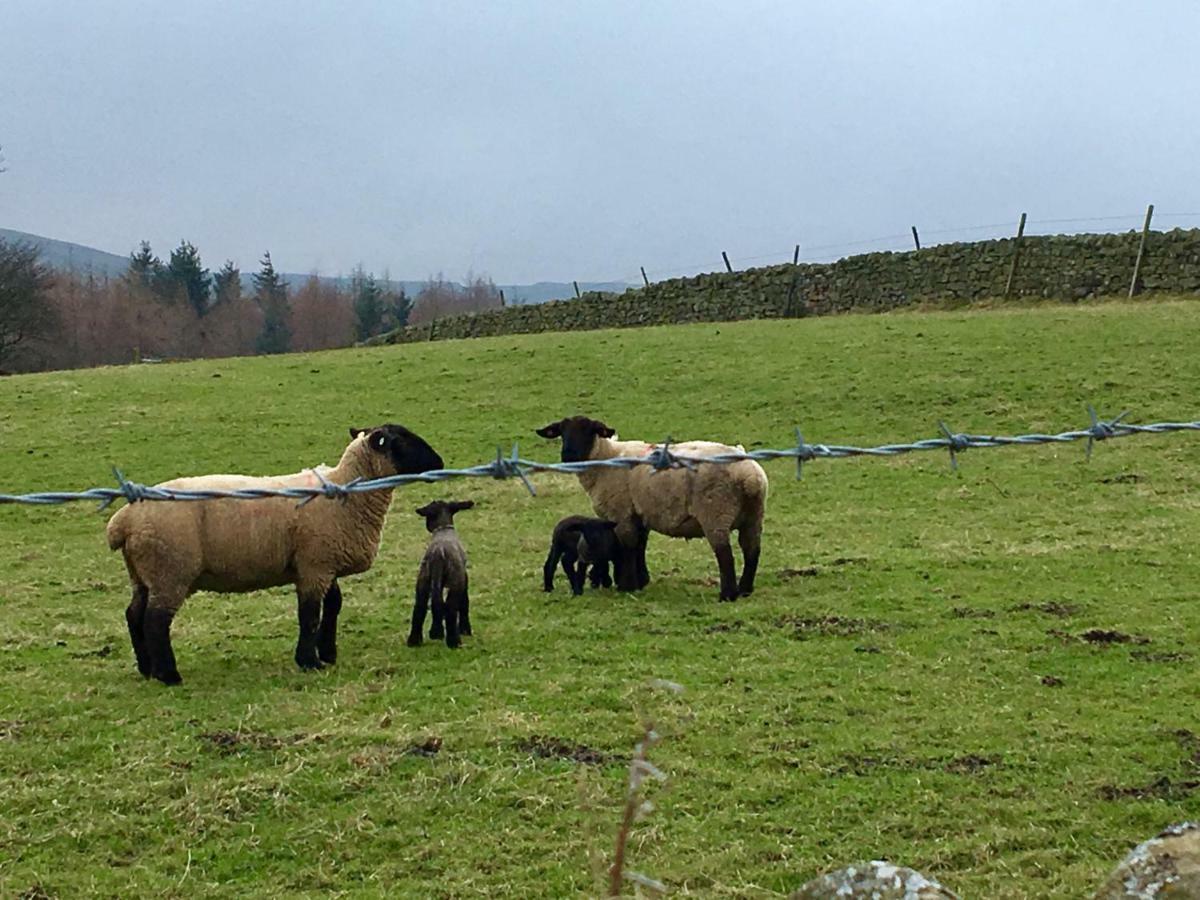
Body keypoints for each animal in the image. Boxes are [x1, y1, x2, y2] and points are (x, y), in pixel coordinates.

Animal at [104, 422, 446, 681]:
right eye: (401, 439)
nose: (440, 463)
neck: (345, 489)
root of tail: (123, 521)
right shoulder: (314, 566)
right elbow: (309, 614)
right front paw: (309, 661)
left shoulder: (323, 562)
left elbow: (333, 606)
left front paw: (328, 652)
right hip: (170, 571)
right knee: (155, 622)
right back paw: (169, 675)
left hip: (144, 574)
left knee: (134, 615)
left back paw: (147, 669)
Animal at [408, 501, 472, 648]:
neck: (443, 529)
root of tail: (438, 554)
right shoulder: (464, 577)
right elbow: (465, 603)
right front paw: (465, 630)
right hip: (455, 581)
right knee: (450, 608)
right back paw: (454, 642)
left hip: (423, 580)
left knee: (419, 607)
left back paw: (414, 641)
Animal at [537, 417, 768, 602]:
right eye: (562, 432)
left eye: (588, 430)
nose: (567, 455)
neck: (605, 460)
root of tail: (750, 476)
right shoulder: (640, 512)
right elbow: (640, 545)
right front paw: (641, 581)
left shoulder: (621, 514)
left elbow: (628, 547)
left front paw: (627, 585)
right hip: (753, 515)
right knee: (752, 550)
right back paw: (745, 589)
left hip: (715, 511)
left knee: (725, 554)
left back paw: (728, 595)